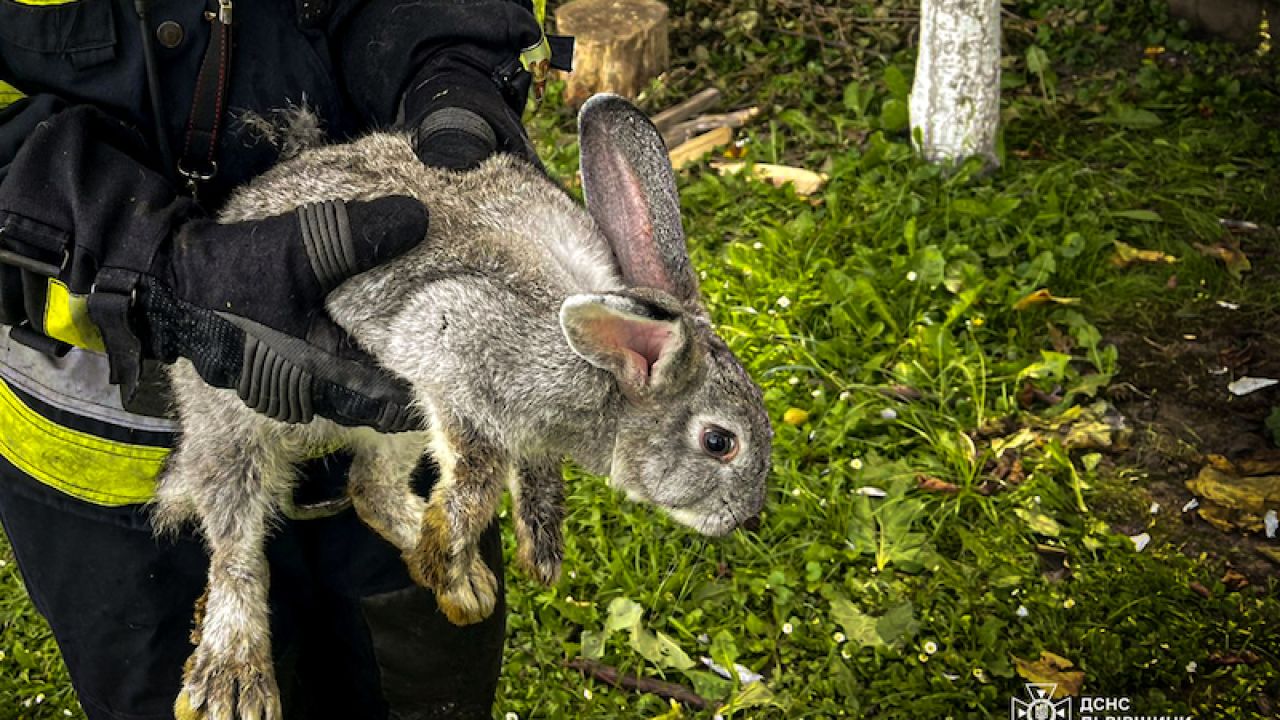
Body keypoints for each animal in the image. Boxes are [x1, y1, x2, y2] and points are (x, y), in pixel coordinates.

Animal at [149, 94, 768, 717]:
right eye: (720, 442)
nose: (746, 517)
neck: (596, 366)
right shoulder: (455, 355)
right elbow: (477, 476)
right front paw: (450, 553)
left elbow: (532, 471)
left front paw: (538, 549)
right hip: (234, 414)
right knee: (236, 545)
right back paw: (233, 675)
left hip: (394, 424)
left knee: (368, 489)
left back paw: (461, 574)